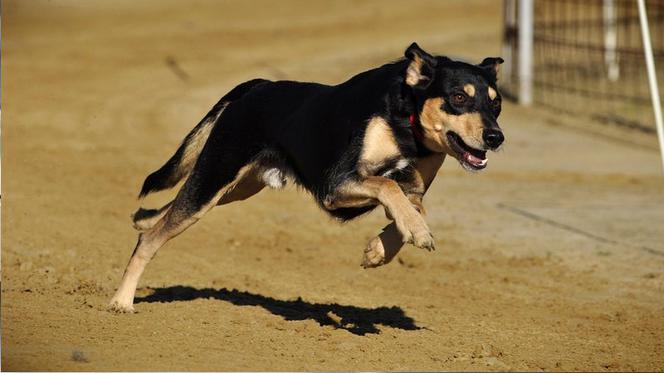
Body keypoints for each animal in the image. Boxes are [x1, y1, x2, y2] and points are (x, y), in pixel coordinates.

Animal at [107, 42, 504, 310]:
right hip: (216, 176)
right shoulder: (336, 185)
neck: (406, 124)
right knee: (152, 239)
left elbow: (410, 207)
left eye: (496, 103)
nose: (496, 137)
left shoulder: (414, 190)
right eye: (458, 97)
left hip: (234, 186)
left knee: (165, 213)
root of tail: (258, 85)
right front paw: (416, 234)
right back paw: (122, 301)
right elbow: (388, 185)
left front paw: (379, 250)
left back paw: (142, 219)